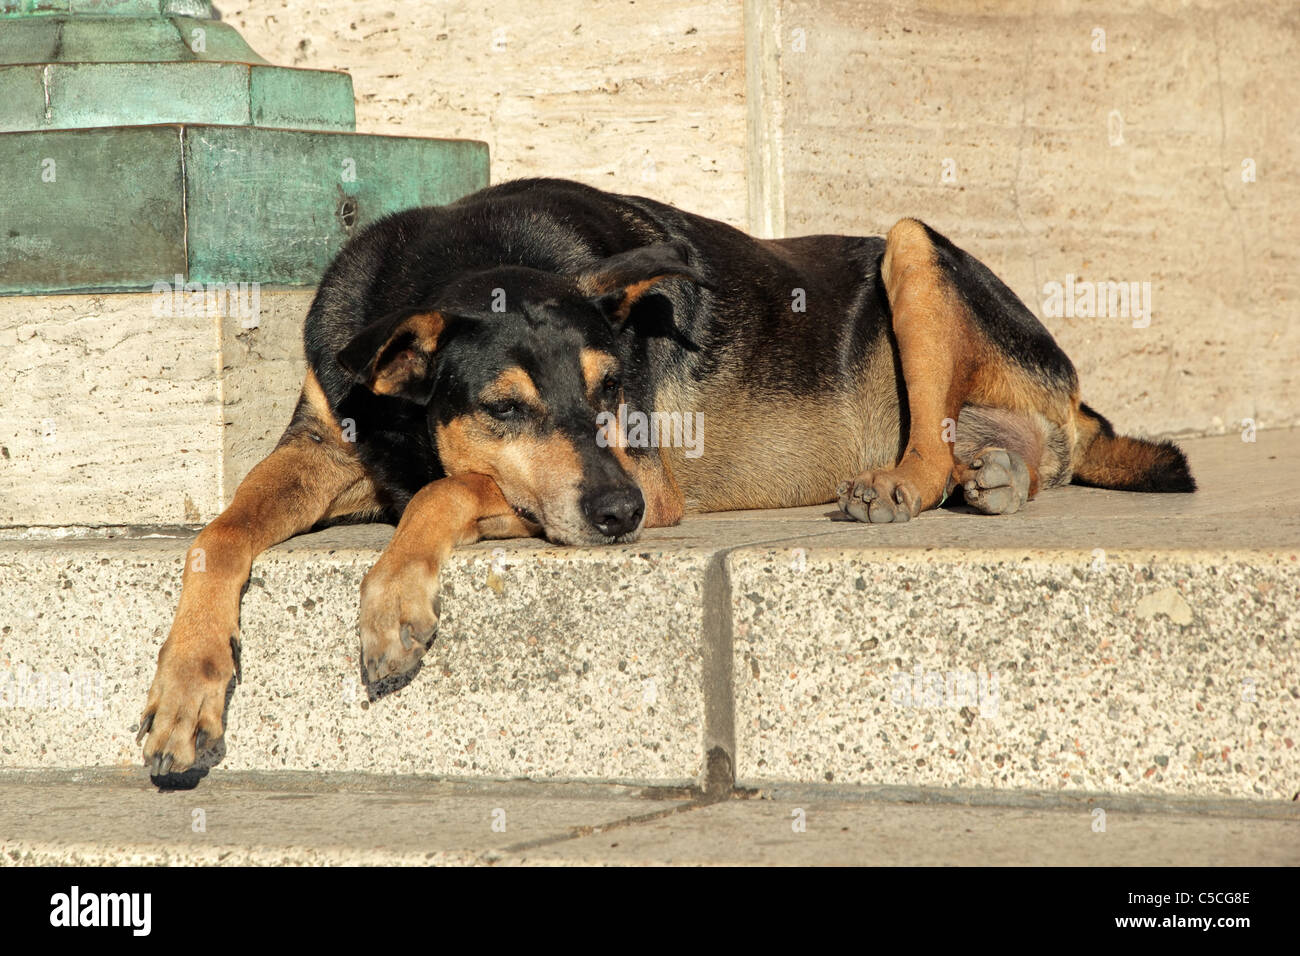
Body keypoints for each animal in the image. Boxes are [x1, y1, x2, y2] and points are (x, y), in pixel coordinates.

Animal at [137, 178, 1190, 780]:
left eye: (611, 390)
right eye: (505, 409)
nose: (621, 515)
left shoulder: (646, 472)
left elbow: (454, 490)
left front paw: (394, 599)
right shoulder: (323, 448)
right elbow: (217, 534)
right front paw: (186, 693)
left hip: (911, 243)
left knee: (940, 438)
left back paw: (911, 482)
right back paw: (997, 468)